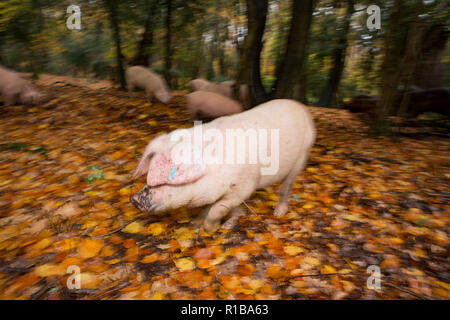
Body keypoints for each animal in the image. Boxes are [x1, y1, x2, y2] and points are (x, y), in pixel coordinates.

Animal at [131, 99, 316, 231]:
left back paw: (278, 213)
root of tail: (302, 109)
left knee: (287, 186)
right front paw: (196, 222)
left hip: (301, 156)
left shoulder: (244, 186)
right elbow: (210, 207)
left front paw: (214, 227)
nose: (133, 198)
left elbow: (218, 208)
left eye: (163, 179)